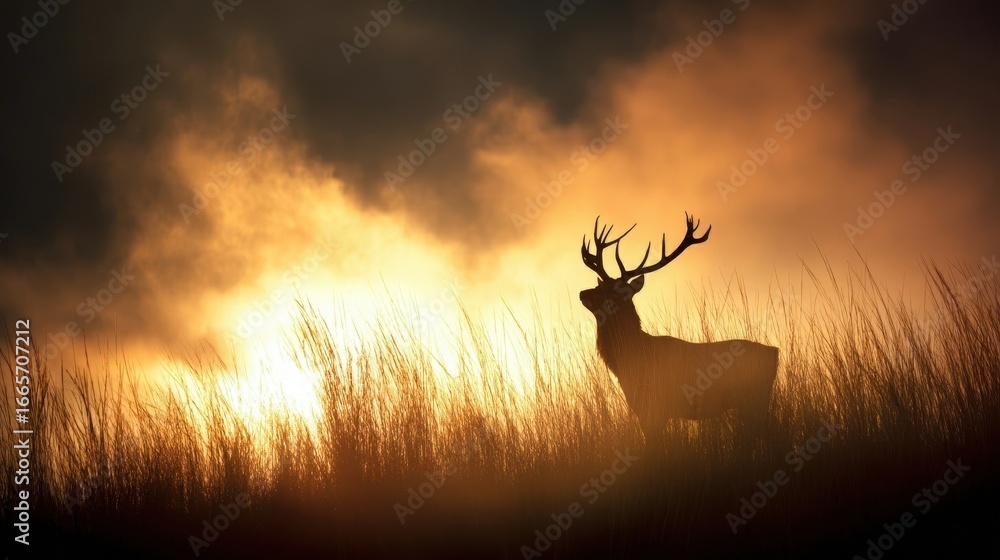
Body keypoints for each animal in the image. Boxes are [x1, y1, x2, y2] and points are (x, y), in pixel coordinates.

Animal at [579, 213, 779, 459]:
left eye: (609, 290)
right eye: (599, 285)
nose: (583, 293)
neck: (631, 357)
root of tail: (774, 353)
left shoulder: (654, 406)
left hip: (753, 398)